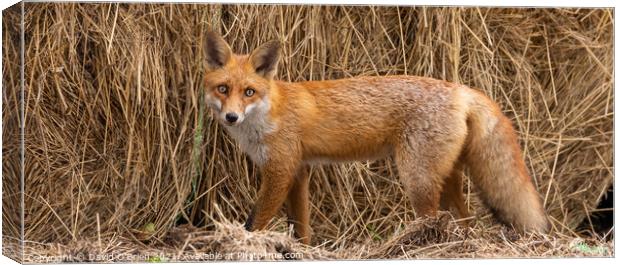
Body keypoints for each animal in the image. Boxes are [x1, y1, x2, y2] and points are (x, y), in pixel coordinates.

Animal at [202, 31, 548, 243]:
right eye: (223, 89)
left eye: (249, 92)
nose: (231, 117)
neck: (269, 112)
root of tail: (460, 88)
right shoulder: (299, 171)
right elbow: (301, 227)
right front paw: (300, 251)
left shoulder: (280, 170)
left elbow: (256, 221)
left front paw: (246, 243)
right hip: (445, 176)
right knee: (465, 220)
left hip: (417, 179)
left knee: (433, 220)